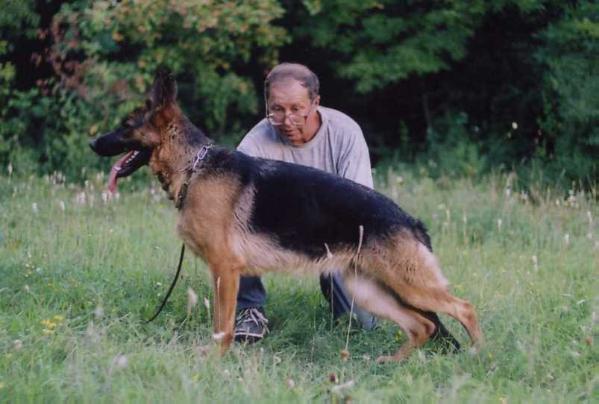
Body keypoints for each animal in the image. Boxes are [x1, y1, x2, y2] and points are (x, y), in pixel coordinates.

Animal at [89, 69, 482, 362]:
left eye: (125, 125)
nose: (92, 143)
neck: (194, 167)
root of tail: (412, 221)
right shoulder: (227, 271)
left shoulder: (224, 269)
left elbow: (222, 325)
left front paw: (214, 359)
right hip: (369, 290)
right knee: (422, 326)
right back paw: (392, 362)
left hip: (408, 285)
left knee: (464, 308)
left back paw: (478, 357)